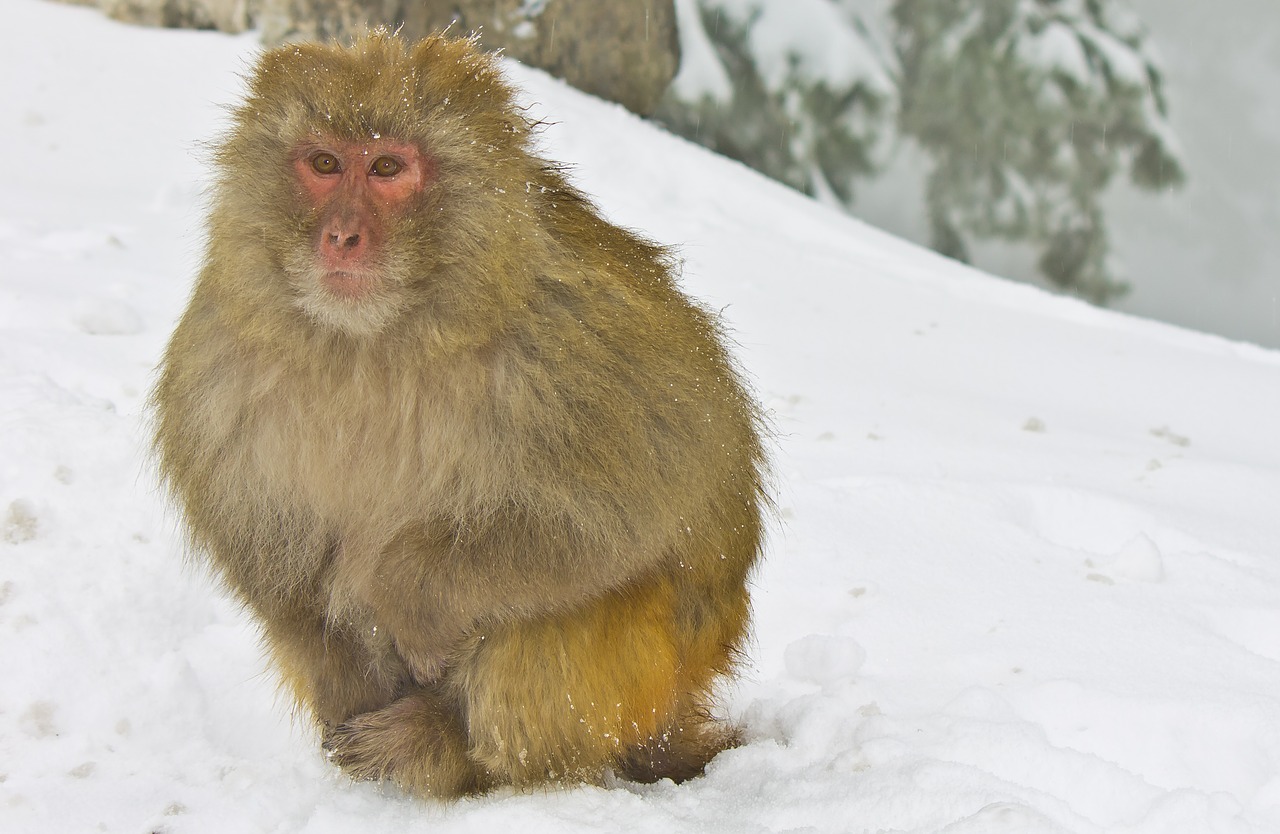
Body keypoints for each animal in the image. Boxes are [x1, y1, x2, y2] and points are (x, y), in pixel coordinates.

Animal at [149, 32, 768, 798]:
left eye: (387, 167)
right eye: (324, 164)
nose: (341, 236)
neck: (374, 341)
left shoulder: (572, 339)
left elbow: (646, 500)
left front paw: (407, 598)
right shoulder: (220, 352)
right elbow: (260, 541)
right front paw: (334, 654)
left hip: (647, 676)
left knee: (565, 611)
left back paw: (452, 753)